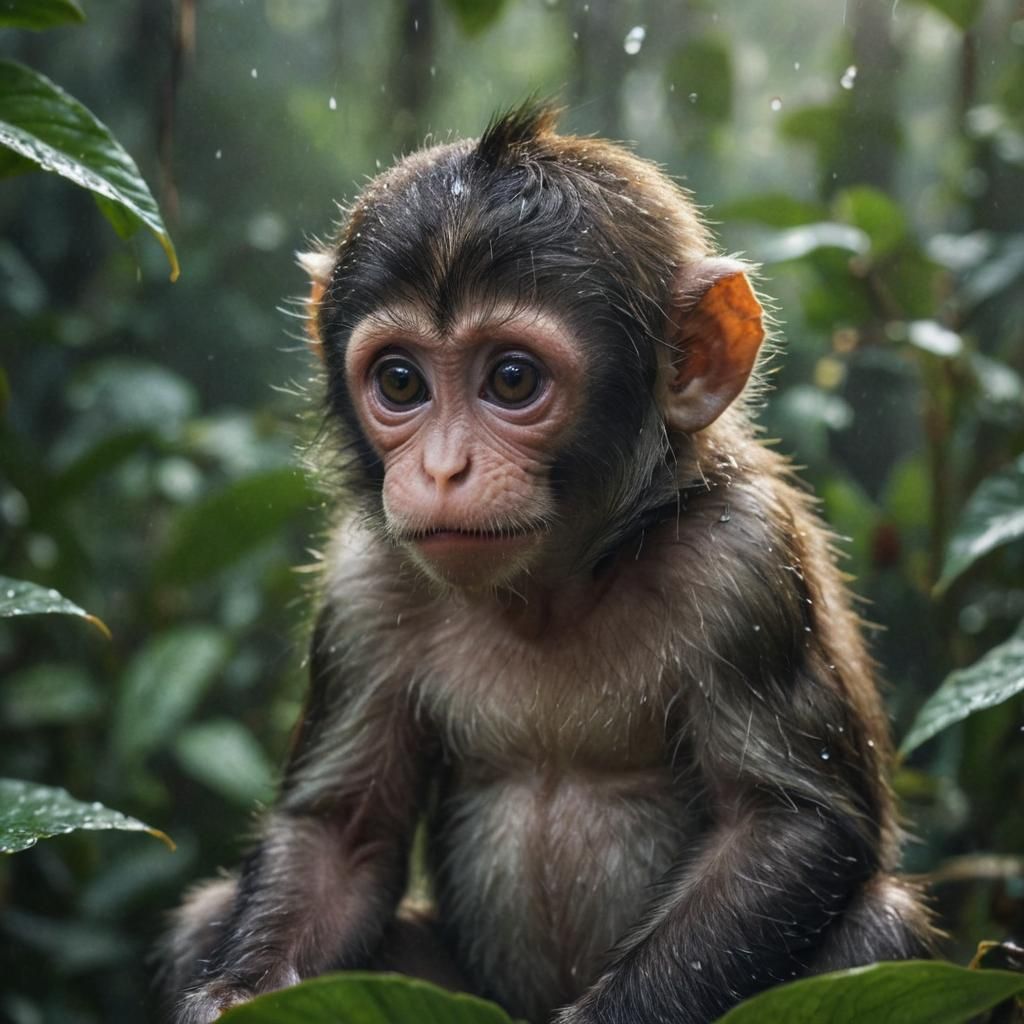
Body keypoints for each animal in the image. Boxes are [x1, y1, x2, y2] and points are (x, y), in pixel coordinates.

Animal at [161, 103, 937, 1024]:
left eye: (511, 378)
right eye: (400, 382)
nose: (442, 470)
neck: (556, 587)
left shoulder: (746, 563)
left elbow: (787, 822)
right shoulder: (362, 587)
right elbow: (340, 832)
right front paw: (232, 996)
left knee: (876, 932)